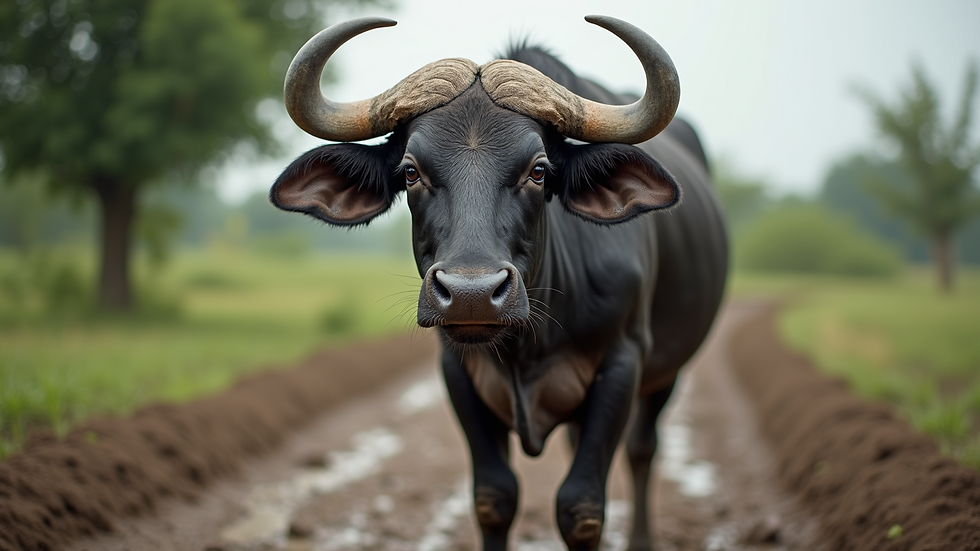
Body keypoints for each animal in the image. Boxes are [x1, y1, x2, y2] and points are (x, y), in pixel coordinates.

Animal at [271, 16, 727, 551]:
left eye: (539, 170)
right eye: (411, 172)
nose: (471, 295)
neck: (530, 344)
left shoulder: (624, 361)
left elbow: (582, 506)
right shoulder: (458, 371)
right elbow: (494, 497)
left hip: (667, 370)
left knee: (642, 448)